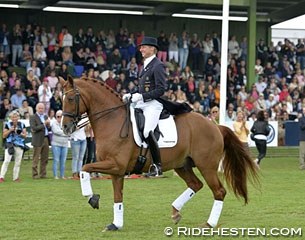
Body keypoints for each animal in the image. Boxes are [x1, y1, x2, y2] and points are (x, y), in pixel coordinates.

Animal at [58, 76, 256, 231]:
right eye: (61, 98)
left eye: (70, 98)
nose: (65, 127)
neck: (112, 120)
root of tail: (215, 126)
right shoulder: (117, 171)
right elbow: (117, 197)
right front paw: (116, 224)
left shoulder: (115, 165)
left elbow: (84, 168)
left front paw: (92, 198)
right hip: (183, 165)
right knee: (196, 184)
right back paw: (175, 212)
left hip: (206, 166)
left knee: (219, 191)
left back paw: (209, 224)